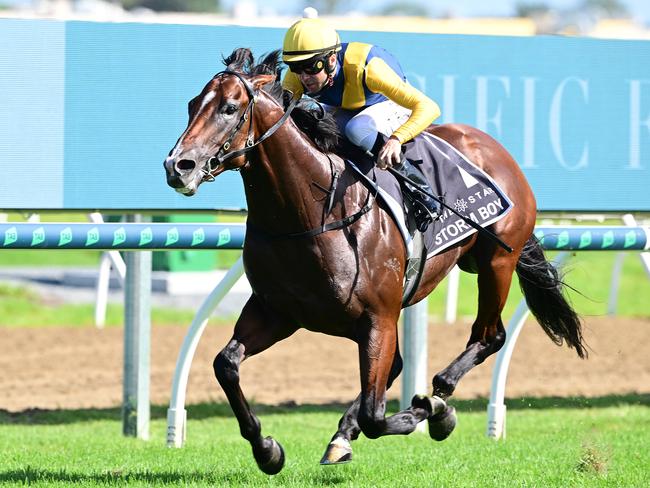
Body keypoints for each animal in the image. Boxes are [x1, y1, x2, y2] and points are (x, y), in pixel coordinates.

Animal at [163, 48, 588, 472]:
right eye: (191, 105)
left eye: (230, 108)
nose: (177, 166)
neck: (311, 213)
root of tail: (494, 148)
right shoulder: (278, 312)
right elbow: (226, 364)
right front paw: (267, 449)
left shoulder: (377, 318)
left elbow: (374, 415)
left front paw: (434, 413)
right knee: (399, 365)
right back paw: (347, 433)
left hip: (497, 261)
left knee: (489, 336)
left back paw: (437, 395)